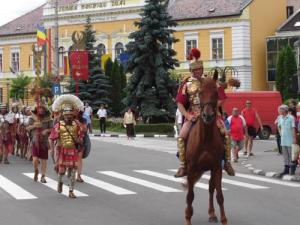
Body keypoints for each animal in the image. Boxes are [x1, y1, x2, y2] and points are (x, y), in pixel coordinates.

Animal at [183, 75, 227, 225]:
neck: (205, 139)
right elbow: (190, 195)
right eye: (200, 93)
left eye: (216, 92)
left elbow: (219, 195)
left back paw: (212, 213)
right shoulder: (191, 168)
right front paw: (188, 218)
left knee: (210, 187)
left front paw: (224, 220)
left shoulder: (217, 167)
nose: (208, 116)